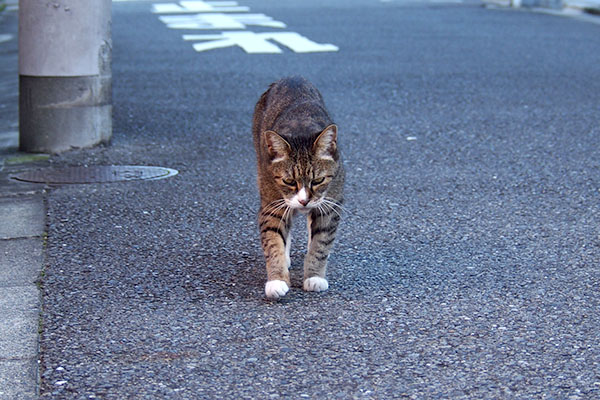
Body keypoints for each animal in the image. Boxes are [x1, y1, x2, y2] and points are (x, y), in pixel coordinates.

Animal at [252, 76, 344, 298]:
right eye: (289, 182)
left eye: (318, 181)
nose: (304, 200)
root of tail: (291, 78)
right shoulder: (272, 205)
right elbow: (273, 241)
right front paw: (277, 280)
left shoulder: (330, 206)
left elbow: (320, 244)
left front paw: (314, 276)